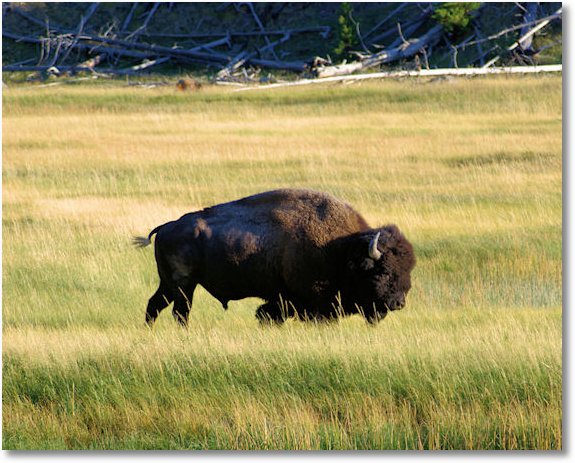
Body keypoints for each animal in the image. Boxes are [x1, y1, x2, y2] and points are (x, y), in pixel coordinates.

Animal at [133, 190, 416, 328]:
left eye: (407, 271)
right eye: (383, 272)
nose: (399, 303)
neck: (342, 249)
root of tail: (167, 227)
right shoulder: (302, 301)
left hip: (169, 284)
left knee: (154, 305)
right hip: (184, 285)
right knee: (180, 312)